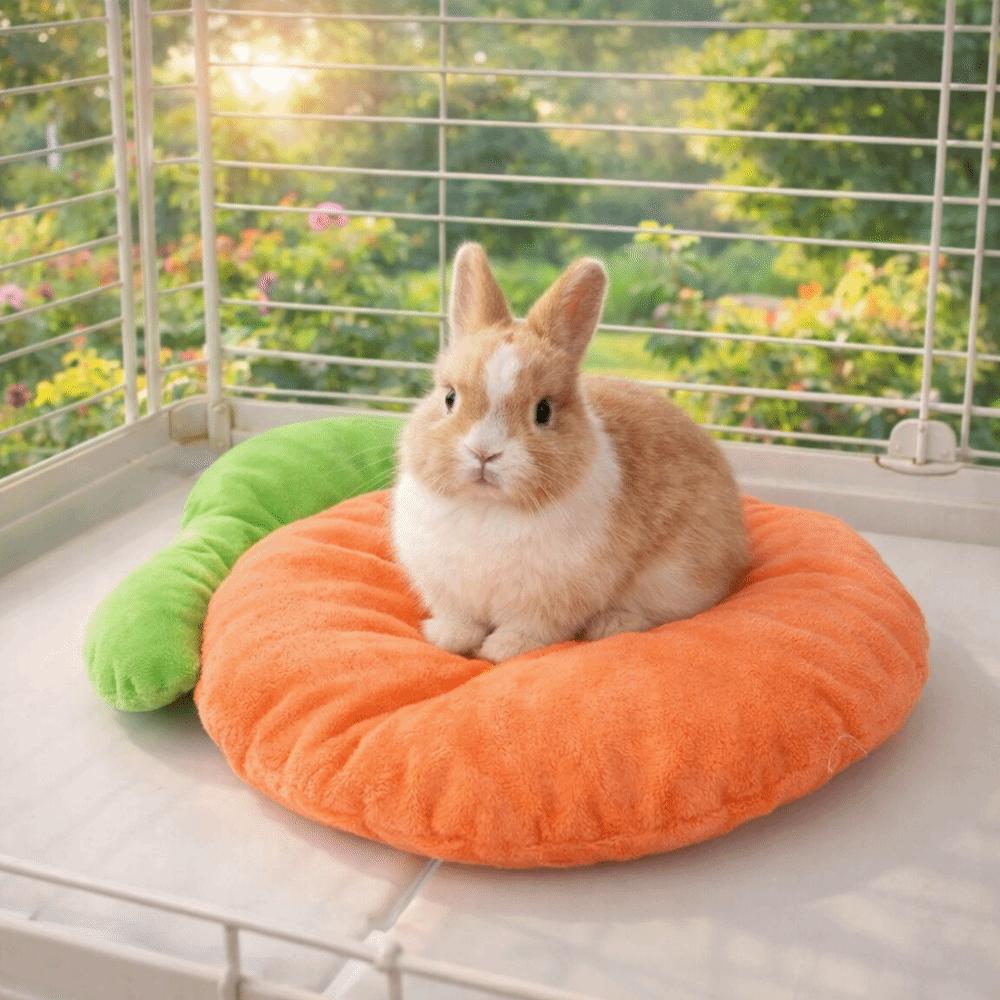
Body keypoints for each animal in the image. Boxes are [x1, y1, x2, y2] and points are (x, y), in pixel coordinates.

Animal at [390, 242, 750, 663]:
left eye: (543, 411)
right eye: (449, 398)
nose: (484, 453)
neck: (487, 507)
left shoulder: (549, 601)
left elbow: (530, 628)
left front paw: (502, 650)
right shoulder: (449, 591)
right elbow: (461, 619)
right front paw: (447, 638)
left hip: (676, 578)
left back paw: (611, 625)